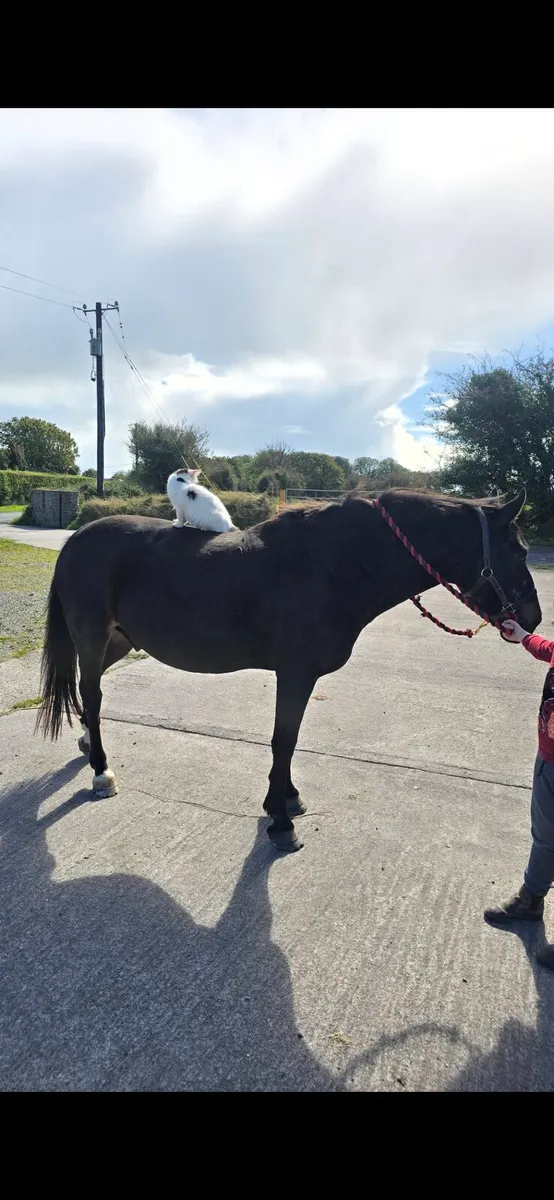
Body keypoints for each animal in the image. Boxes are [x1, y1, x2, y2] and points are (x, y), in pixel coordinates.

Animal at [37, 488, 541, 852]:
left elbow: (288, 740)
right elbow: (285, 740)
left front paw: (286, 799)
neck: (335, 566)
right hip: (92, 637)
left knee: (87, 693)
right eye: (519, 551)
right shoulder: (296, 674)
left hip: (119, 640)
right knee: (93, 695)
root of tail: (77, 539)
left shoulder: (297, 675)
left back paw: (88, 745)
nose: (532, 619)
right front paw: (280, 822)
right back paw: (101, 772)